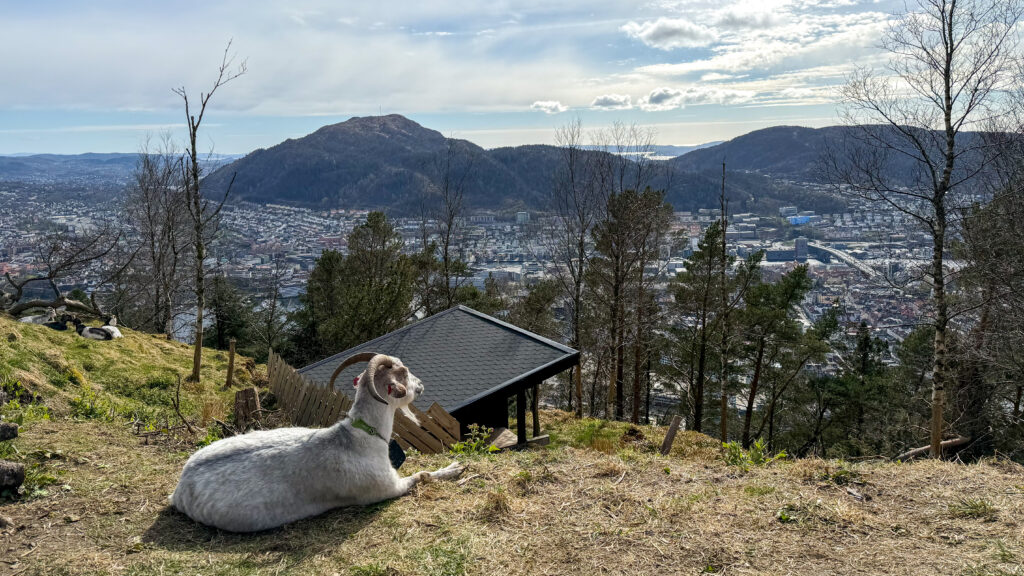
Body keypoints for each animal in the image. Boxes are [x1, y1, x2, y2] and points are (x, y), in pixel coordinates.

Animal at [169, 353, 465, 532]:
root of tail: (180, 488)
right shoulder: (385, 489)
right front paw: (455, 468)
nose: (421, 384)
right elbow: (423, 475)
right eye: (404, 372)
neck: (358, 439)